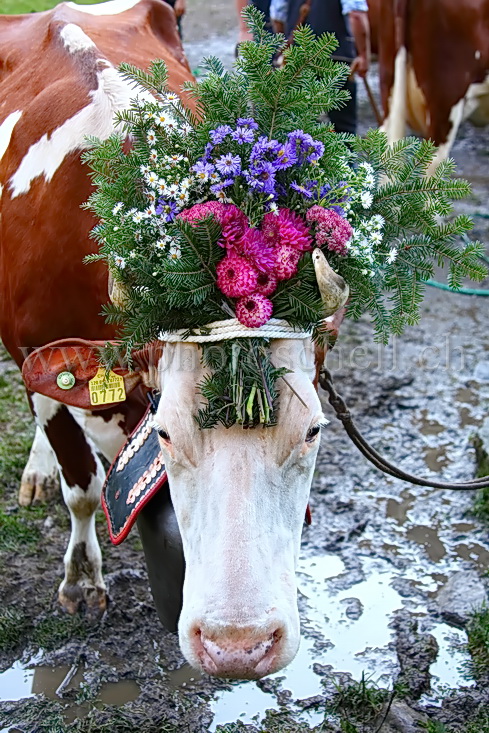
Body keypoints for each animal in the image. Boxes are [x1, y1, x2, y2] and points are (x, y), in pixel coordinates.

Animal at [0, 0, 346, 680]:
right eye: (162, 434)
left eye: (314, 431)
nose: (239, 644)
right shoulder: (38, 361)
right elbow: (83, 488)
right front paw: (82, 583)